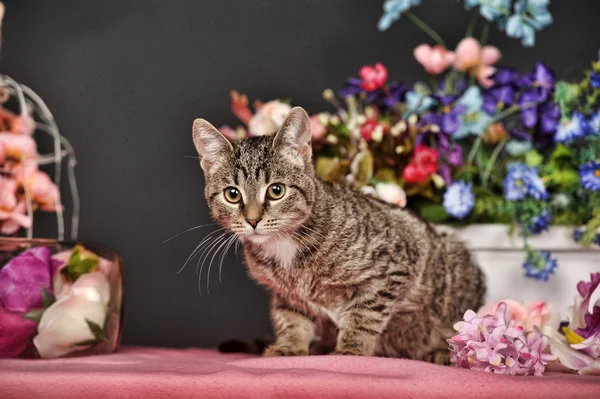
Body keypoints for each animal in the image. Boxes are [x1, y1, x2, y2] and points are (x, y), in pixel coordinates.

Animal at [192, 108, 488, 364]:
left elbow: (364, 315)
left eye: (276, 190)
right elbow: (291, 318)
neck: (285, 245)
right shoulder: (287, 294)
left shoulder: (394, 266)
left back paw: (440, 353)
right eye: (232, 194)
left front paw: (351, 349)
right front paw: (290, 346)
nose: (253, 220)